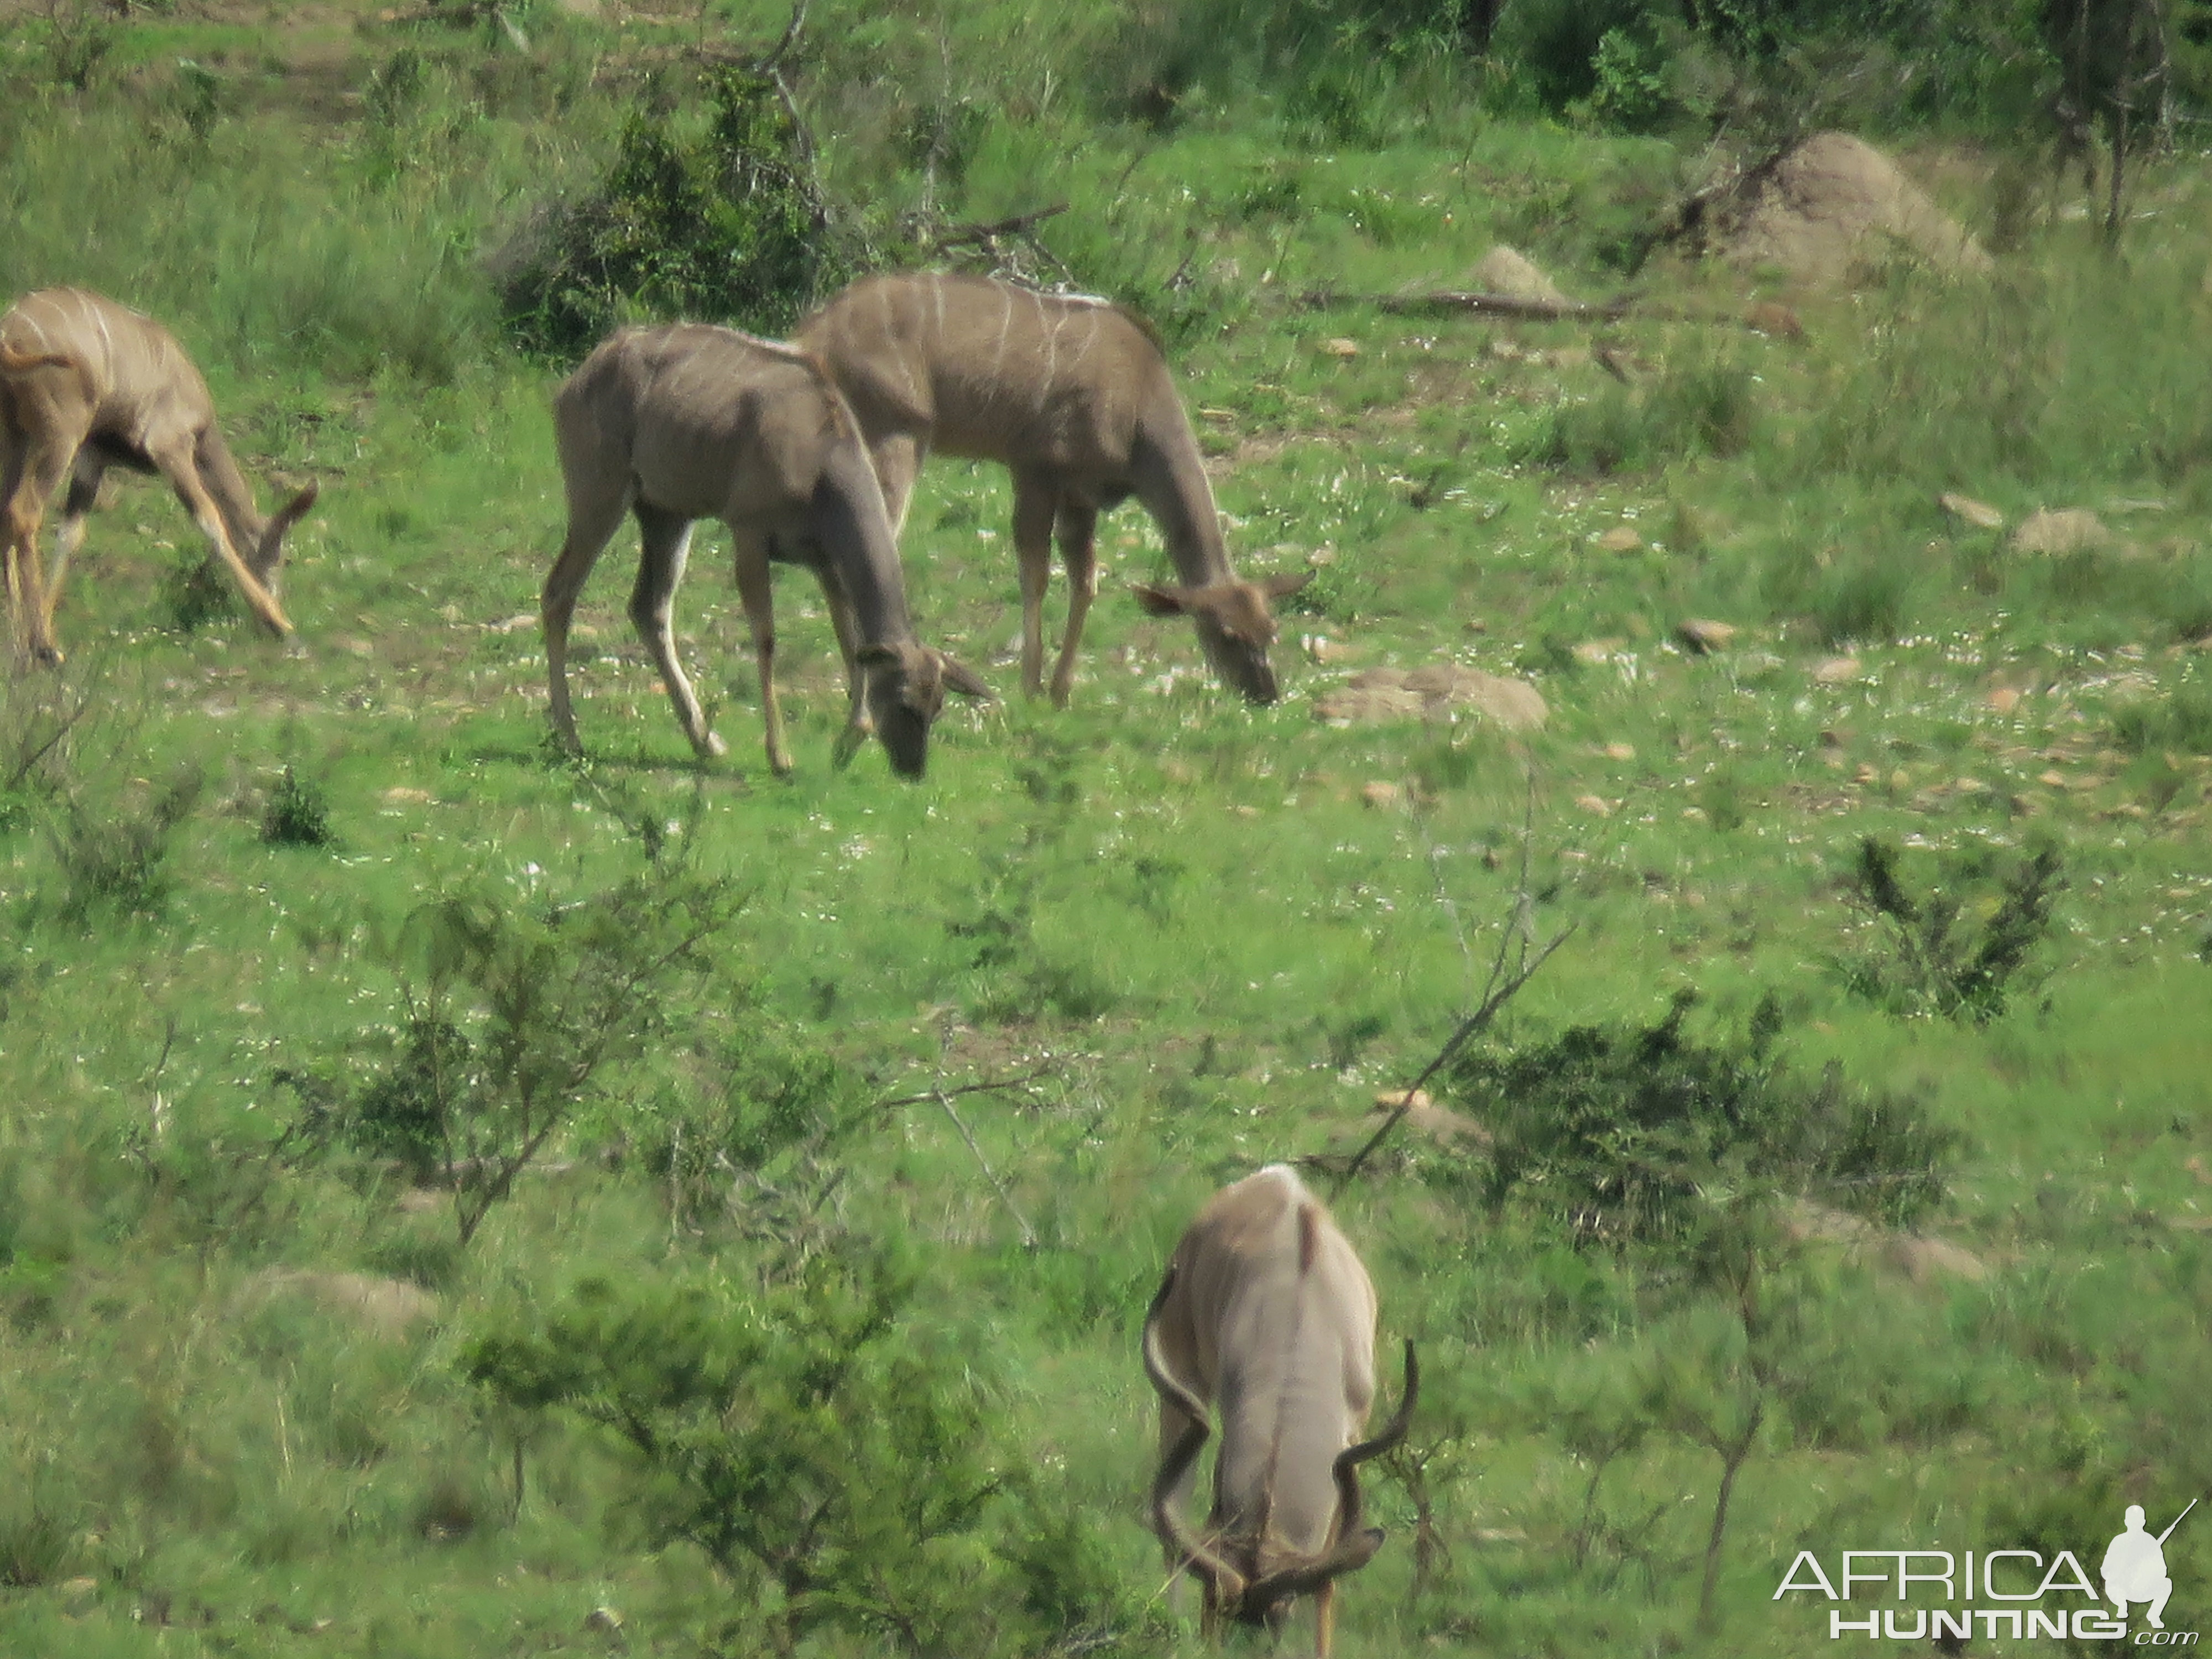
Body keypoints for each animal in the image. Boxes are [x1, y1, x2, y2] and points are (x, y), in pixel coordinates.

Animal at [1141, 1168, 1416, 1659]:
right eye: (1214, 1610)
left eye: (1278, 1619)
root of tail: (1272, 1178)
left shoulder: (1354, 1435)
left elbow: (1327, 1584)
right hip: (1181, 1381)